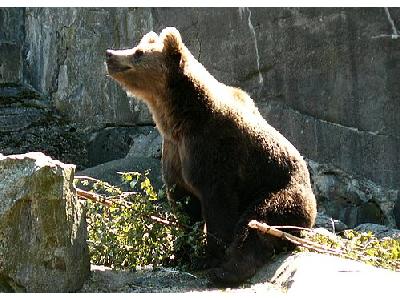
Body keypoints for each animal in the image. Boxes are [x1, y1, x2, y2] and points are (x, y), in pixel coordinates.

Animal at [104, 27, 318, 286]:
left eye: (138, 53)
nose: (110, 54)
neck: (179, 118)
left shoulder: (213, 148)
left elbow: (218, 204)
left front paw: (208, 258)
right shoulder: (175, 151)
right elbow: (184, 204)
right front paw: (178, 254)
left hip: (282, 192)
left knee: (257, 223)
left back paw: (227, 271)